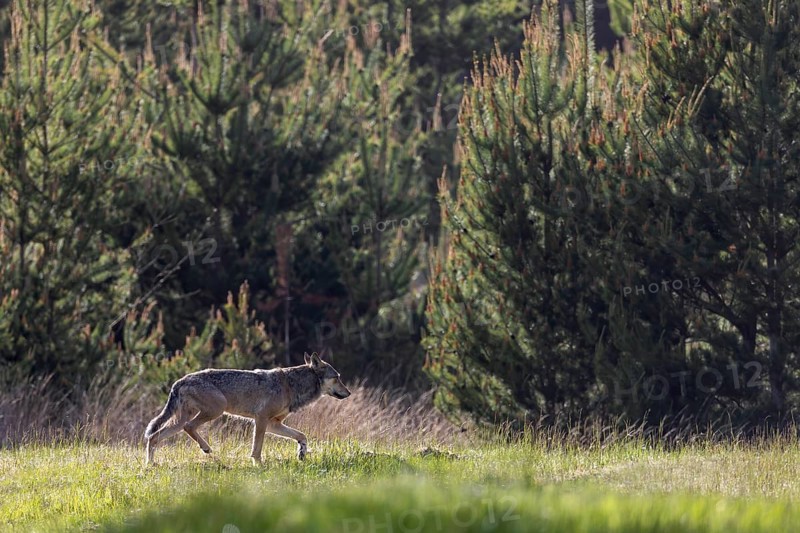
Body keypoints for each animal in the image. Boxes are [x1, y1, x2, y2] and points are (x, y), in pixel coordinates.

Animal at [144, 352, 351, 466]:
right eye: (337, 377)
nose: (349, 393)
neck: (291, 386)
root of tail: (180, 380)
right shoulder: (261, 419)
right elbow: (256, 448)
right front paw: (258, 465)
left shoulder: (274, 424)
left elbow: (302, 436)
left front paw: (301, 453)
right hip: (216, 410)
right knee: (188, 427)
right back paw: (206, 448)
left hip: (182, 420)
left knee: (154, 437)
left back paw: (151, 465)